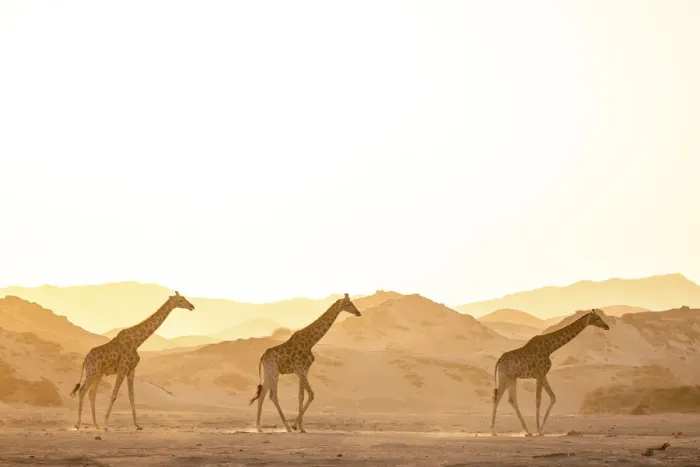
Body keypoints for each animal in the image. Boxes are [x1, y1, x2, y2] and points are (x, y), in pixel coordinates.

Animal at [69, 291, 195, 430]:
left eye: (184, 298)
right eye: (180, 300)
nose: (192, 306)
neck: (137, 342)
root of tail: (85, 359)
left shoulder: (131, 370)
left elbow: (132, 396)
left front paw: (137, 425)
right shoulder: (122, 368)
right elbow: (114, 395)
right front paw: (106, 423)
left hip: (99, 374)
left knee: (92, 394)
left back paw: (96, 425)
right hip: (92, 371)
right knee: (82, 391)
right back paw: (78, 424)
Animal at [249, 293, 361, 433]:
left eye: (351, 302)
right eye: (348, 304)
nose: (358, 313)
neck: (310, 342)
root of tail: (262, 357)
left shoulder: (304, 371)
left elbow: (301, 395)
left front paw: (302, 428)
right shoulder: (300, 370)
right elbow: (311, 394)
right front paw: (295, 425)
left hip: (269, 372)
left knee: (262, 394)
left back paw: (259, 427)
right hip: (274, 371)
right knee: (272, 395)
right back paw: (287, 427)